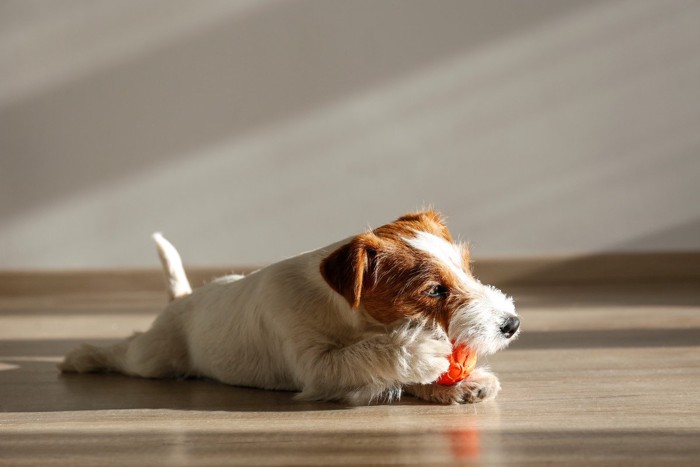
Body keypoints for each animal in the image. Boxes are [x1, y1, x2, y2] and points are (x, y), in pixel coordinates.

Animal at [60, 212, 520, 406]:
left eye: (467, 268)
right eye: (435, 290)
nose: (512, 324)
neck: (350, 317)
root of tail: (184, 300)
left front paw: (457, 385)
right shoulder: (316, 368)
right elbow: (366, 356)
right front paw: (419, 350)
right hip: (154, 359)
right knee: (127, 349)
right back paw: (81, 356)